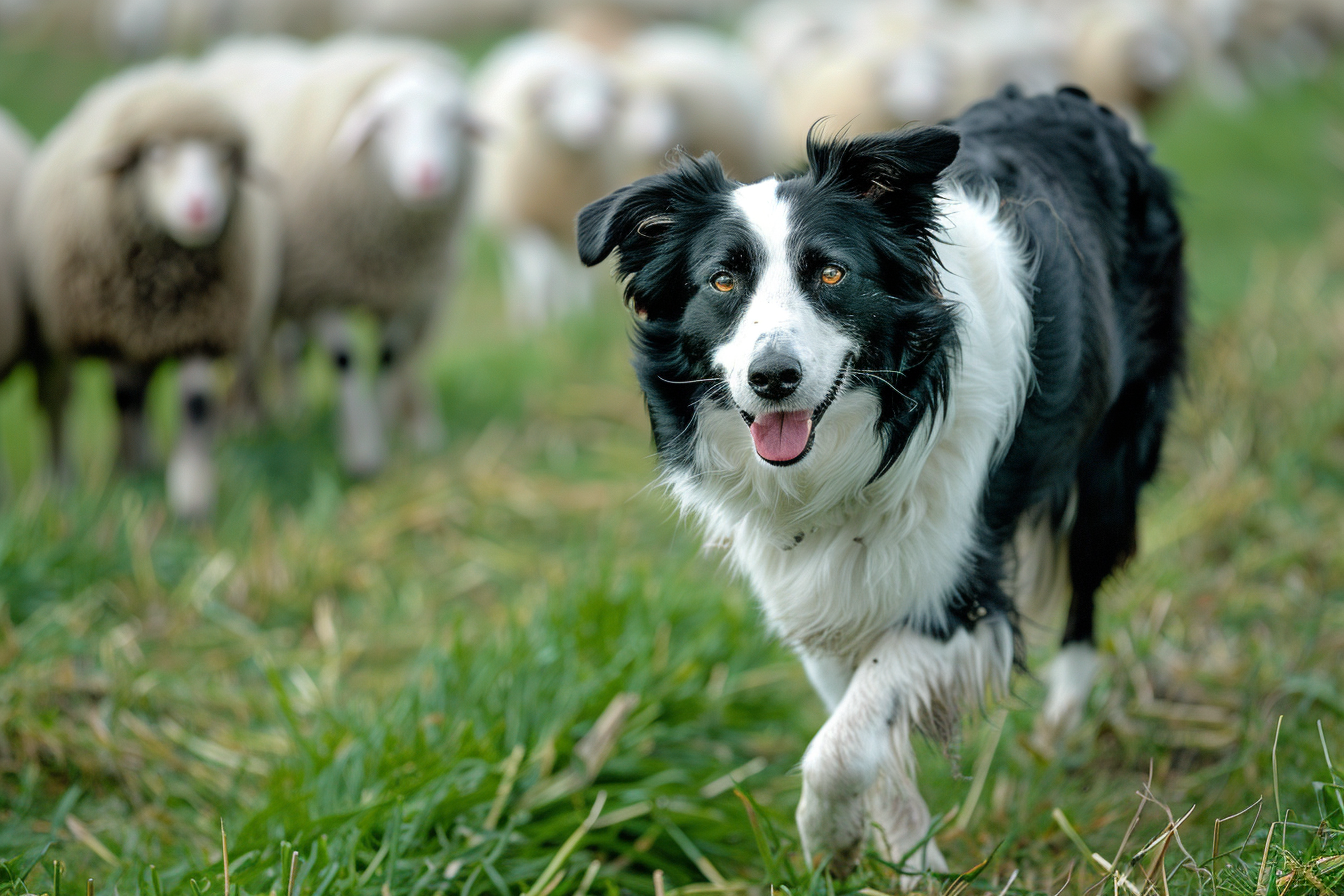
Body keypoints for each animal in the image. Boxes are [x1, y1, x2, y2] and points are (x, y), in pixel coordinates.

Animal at [17, 60, 282, 518]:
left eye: (225, 157)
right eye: (156, 153)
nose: (200, 209)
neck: (165, 282)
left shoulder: (200, 327)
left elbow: (195, 406)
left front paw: (193, 498)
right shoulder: (119, 331)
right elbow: (126, 401)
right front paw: (134, 478)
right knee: (97, 400)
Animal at [201, 34, 478, 477]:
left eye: (454, 121)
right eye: (384, 122)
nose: (428, 177)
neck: (385, 252)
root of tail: (240, 48)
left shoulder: (405, 295)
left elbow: (387, 360)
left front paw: (384, 432)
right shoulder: (320, 288)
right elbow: (346, 361)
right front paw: (363, 452)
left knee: (291, 352)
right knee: (253, 356)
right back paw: (248, 420)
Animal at [473, 31, 625, 327]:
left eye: (602, 95)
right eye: (557, 97)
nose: (595, 126)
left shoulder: (575, 222)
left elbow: (575, 274)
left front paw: (578, 315)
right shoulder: (525, 218)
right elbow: (538, 274)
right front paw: (539, 322)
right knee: (521, 272)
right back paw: (523, 312)